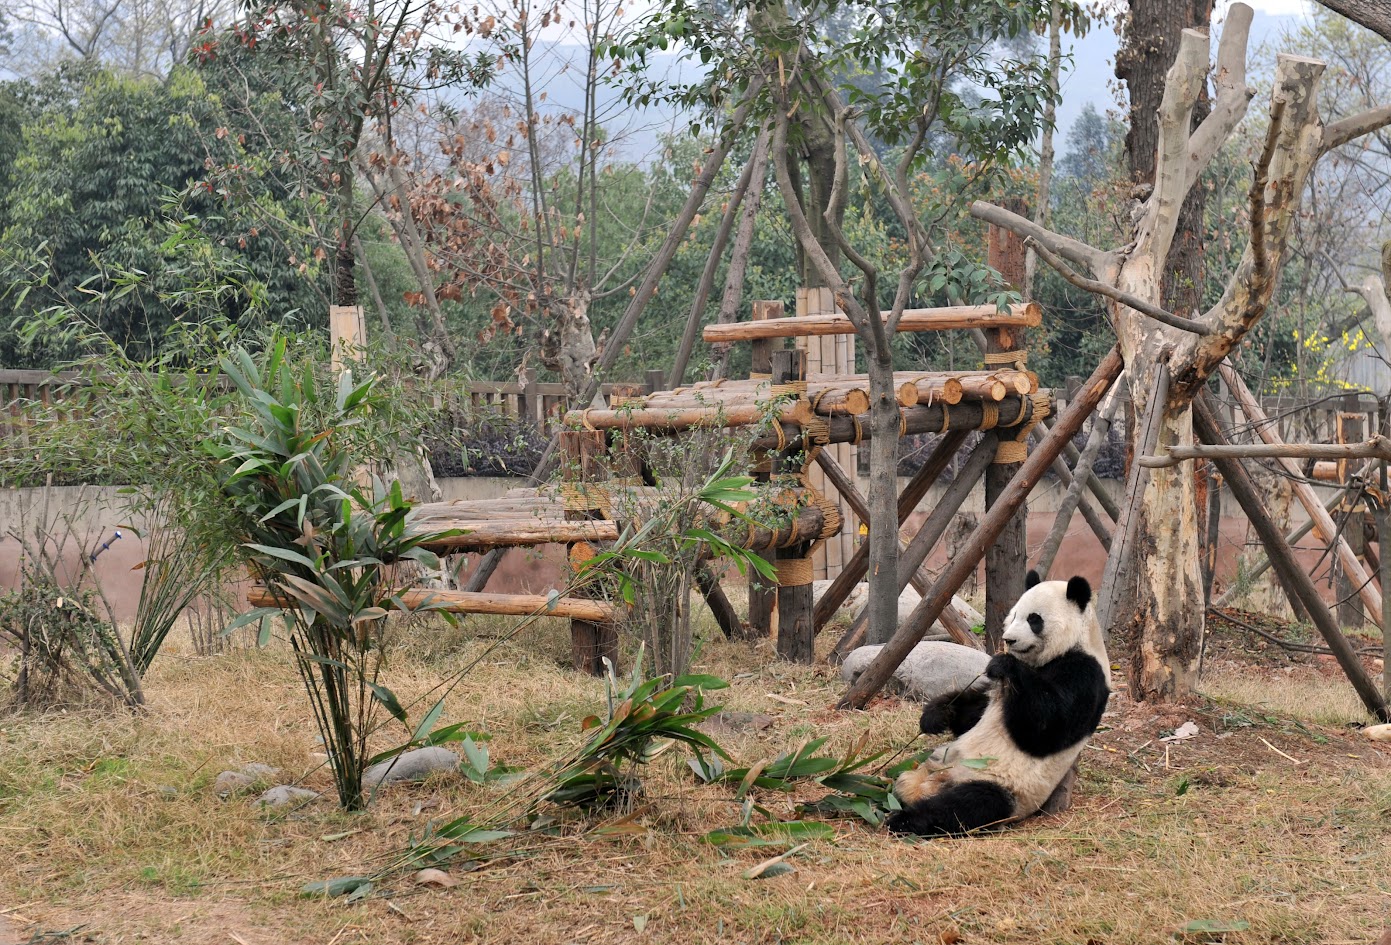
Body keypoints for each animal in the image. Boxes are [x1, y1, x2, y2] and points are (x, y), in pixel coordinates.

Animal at [885, 571, 1110, 838]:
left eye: (1034, 619)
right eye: (1014, 615)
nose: (1009, 640)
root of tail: (932, 784)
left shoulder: (1085, 673)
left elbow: (1047, 729)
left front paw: (1003, 664)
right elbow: (973, 713)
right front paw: (935, 716)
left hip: (1004, 788)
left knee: (968, 805)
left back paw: (905, 820)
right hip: (929, 764)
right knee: (904, 779)